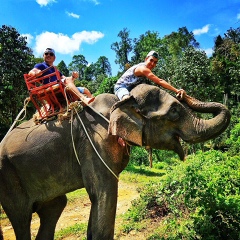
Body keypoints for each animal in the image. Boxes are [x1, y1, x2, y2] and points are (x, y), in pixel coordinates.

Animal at [0, 83, 230, 239]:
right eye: (174, 111)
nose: (182, 93)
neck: (121, 102)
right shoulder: (95, 141)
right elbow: (104, 192)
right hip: (8, 177)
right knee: (21, 216)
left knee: (54, 207)